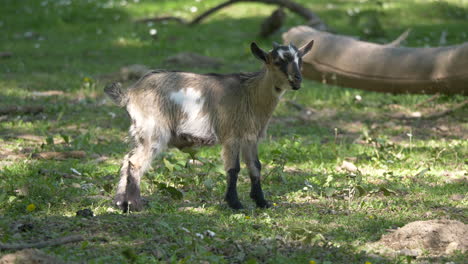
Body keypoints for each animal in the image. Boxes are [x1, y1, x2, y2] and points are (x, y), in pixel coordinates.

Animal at [106, 40, 314, 211]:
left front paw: (262, 202)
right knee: (136, 162)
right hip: (153, 131)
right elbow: (233, 169)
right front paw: (235, 203)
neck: (249, 93)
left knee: (126, 159)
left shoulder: (250, 136)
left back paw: (120, 203)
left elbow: (255, 167)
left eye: (300, 61)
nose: (297, 80)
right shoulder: (232, 135)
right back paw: (135, 205)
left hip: (140, 133)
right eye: (277, 61)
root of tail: (130, 94)